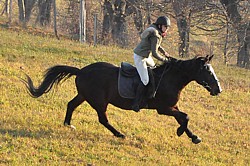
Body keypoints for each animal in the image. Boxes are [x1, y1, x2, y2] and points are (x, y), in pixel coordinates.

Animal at [22, 54, 222, 144]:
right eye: (206, 71)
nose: (218, 89)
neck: (170, 78)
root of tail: (81, 71)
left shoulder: (172, 107)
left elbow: (183, 118)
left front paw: (193, 137)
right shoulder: (163, 108)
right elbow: (185, 117)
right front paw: (182, 132)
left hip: (84, 96)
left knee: (71, 104)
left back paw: (68, 124)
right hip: (99, 101)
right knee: (103, 119)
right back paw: (119, 134)